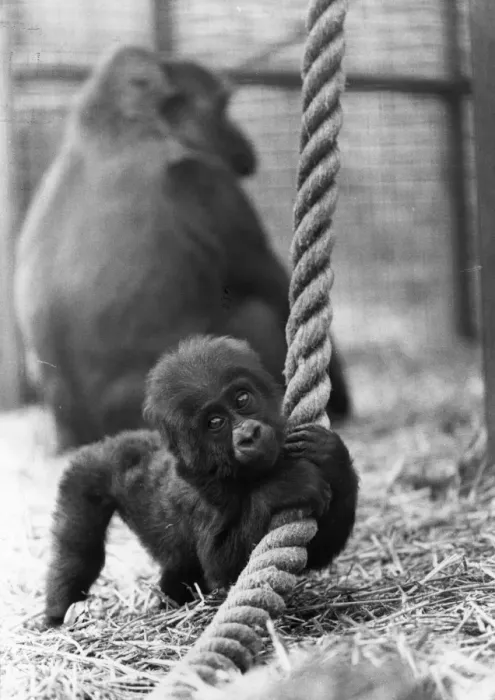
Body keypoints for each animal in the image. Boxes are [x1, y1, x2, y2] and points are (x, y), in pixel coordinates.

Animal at [14, 44, 350, 452]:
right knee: (256, 315)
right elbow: (273, 288)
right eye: (221, 108)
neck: (121, 128)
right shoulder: (208, 182)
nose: (241, 140)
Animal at [44, 335, 358, 627]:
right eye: (215, 423)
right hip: (89, 471)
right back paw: (61, 606)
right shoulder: (199, 500)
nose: (249, 435)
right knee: (79, 549)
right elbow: (222, 567)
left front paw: (331, 455)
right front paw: (284, 486)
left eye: (242, 399)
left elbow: (317, 551)